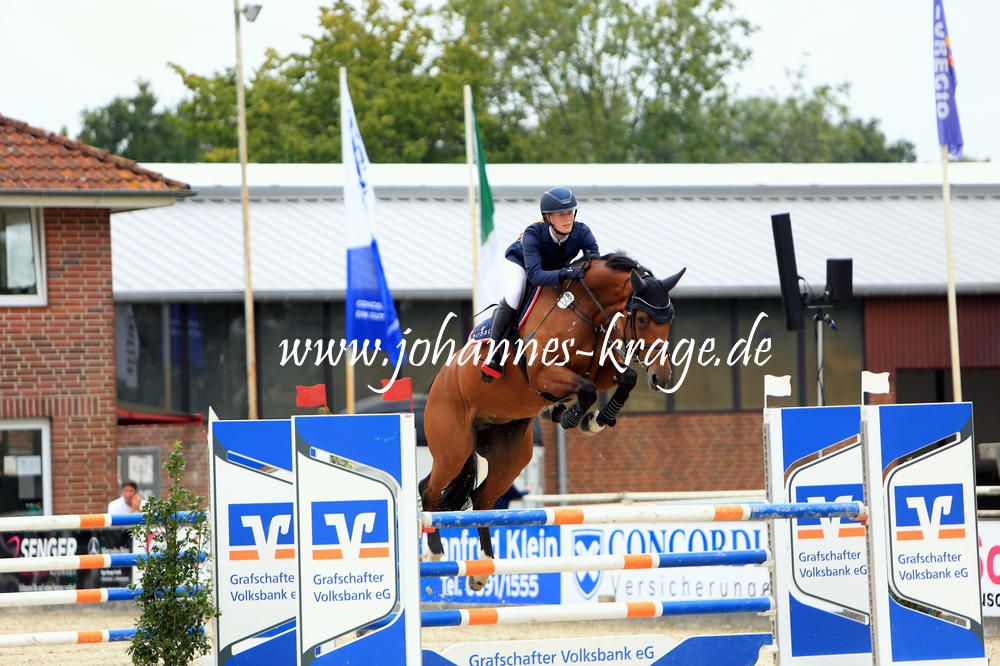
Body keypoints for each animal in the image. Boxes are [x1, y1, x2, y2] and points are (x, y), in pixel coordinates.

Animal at [419, 253, 685, 590]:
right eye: (642, 320)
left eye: (669, 320)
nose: (662, 377)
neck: (584, 309)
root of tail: (437, 384)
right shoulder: (545, 375)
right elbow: (586, 388)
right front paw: (572, 415)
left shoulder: (601, 369)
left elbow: (625, 377)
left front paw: (593, 419)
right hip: (453, 448)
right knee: (429, 489)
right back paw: (434, 552)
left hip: (511, 454)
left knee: (481, 498)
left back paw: (482, 568)